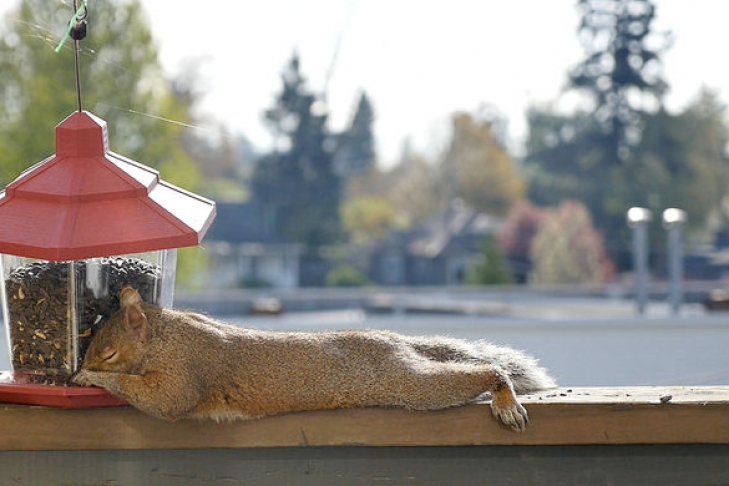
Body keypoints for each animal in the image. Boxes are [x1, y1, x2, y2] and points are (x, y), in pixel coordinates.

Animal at [72, 287, 556, 431]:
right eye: (90, 333)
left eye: (109, 351)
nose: (81, 365)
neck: (166, 335)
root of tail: (396, 341)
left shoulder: (187, 370)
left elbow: (164, 401)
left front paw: (92, 379)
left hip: (407, 382)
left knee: (467, 377)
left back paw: (504, 397)